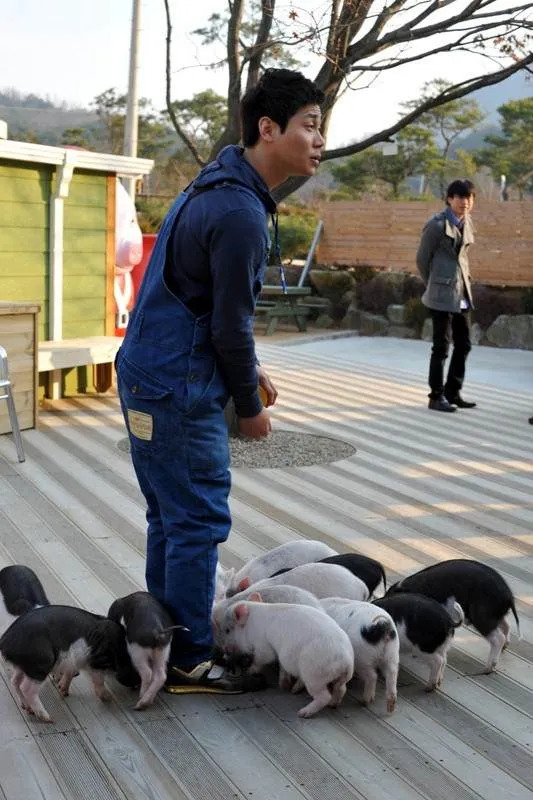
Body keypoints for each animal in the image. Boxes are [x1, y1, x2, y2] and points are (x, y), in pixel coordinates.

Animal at [0, 604, 132, 722]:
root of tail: (5, 641)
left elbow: (70, 673)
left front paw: (63, 691)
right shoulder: (98, 660)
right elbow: (98, 679)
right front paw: (108, 698)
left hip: (23, 666)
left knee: (15, 681)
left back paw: (28, 709)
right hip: (42, 662)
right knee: (27, 688)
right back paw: (48, 719)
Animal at [213, 600, 354, 717]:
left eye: (227, 630)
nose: (224, 652)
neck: (249, 626)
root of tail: (347, 662)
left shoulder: (263, 645)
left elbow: (262, 659)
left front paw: (250, 671)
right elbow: (282, 668)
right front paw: (284, 685)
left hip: (315, 675)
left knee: (324, 696)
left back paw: (302, 713)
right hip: (336, 678)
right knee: (341, 689)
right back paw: (329, 704)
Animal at [386, 559, 520, 673]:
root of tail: (508, 596)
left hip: (482, 616)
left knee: (498, 638)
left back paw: (487, 668)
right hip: (495, 615)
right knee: (506, 625)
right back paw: (505, 647)